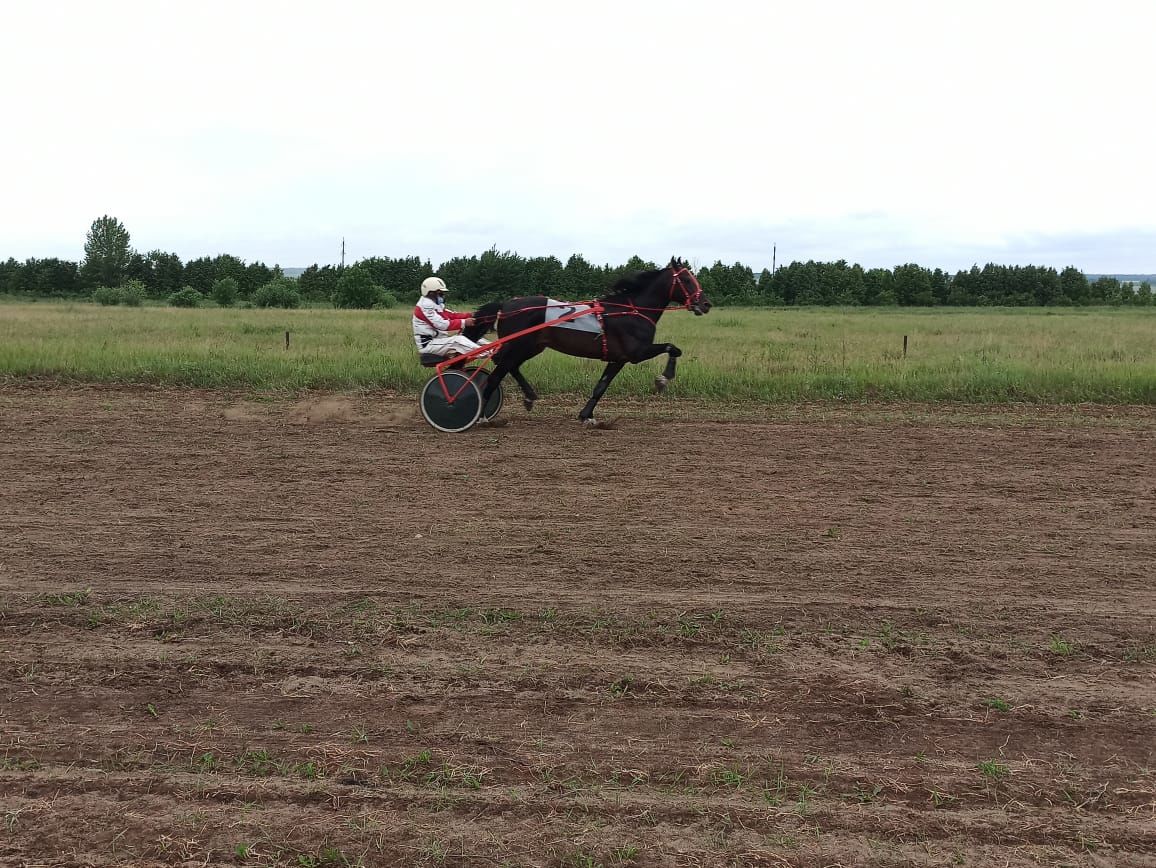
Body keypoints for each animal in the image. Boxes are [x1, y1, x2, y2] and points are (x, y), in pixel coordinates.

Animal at [462, 257, 712, 425]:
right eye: (687, 279)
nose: (706, 304)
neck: (632, 311)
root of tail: (505, 305)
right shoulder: (637, 352)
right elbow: (673, 348)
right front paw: (663, 379)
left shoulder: (619, 359)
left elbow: (601, 386)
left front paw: (586, 416)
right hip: (518, 345)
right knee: (498, 370)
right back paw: (482, 415)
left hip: (532, 346)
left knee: (507, 365)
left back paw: (529, 397)